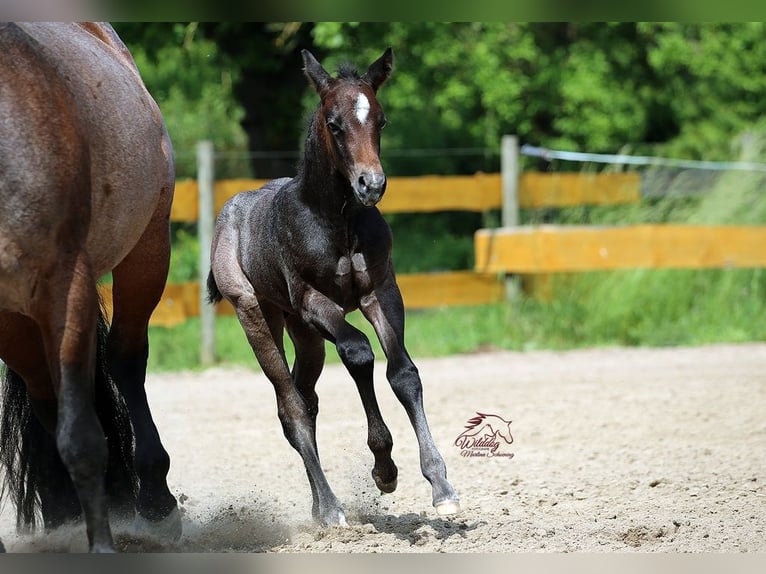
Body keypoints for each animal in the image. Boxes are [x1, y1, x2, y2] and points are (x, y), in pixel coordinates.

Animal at [0, 22, 181, 552]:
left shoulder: (66, 290)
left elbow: (81, 437)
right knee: (44, 392)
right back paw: (64, 514)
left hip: (147, 251)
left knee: (124, 361)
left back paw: (154, 499)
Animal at [207, 48, 461, 526]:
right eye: (334, 123)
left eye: (381, 120)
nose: (371, 184)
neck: (337, 222)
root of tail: (228, 211)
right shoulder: (313, 301)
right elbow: (359, 352)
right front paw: (384, 467)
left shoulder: (381, 291)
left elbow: (403, 373)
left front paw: (441, 485)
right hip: (257, 315)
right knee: (291, 406)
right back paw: (329, 509)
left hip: (303, 333)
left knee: (306, 398)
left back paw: (316, 505)